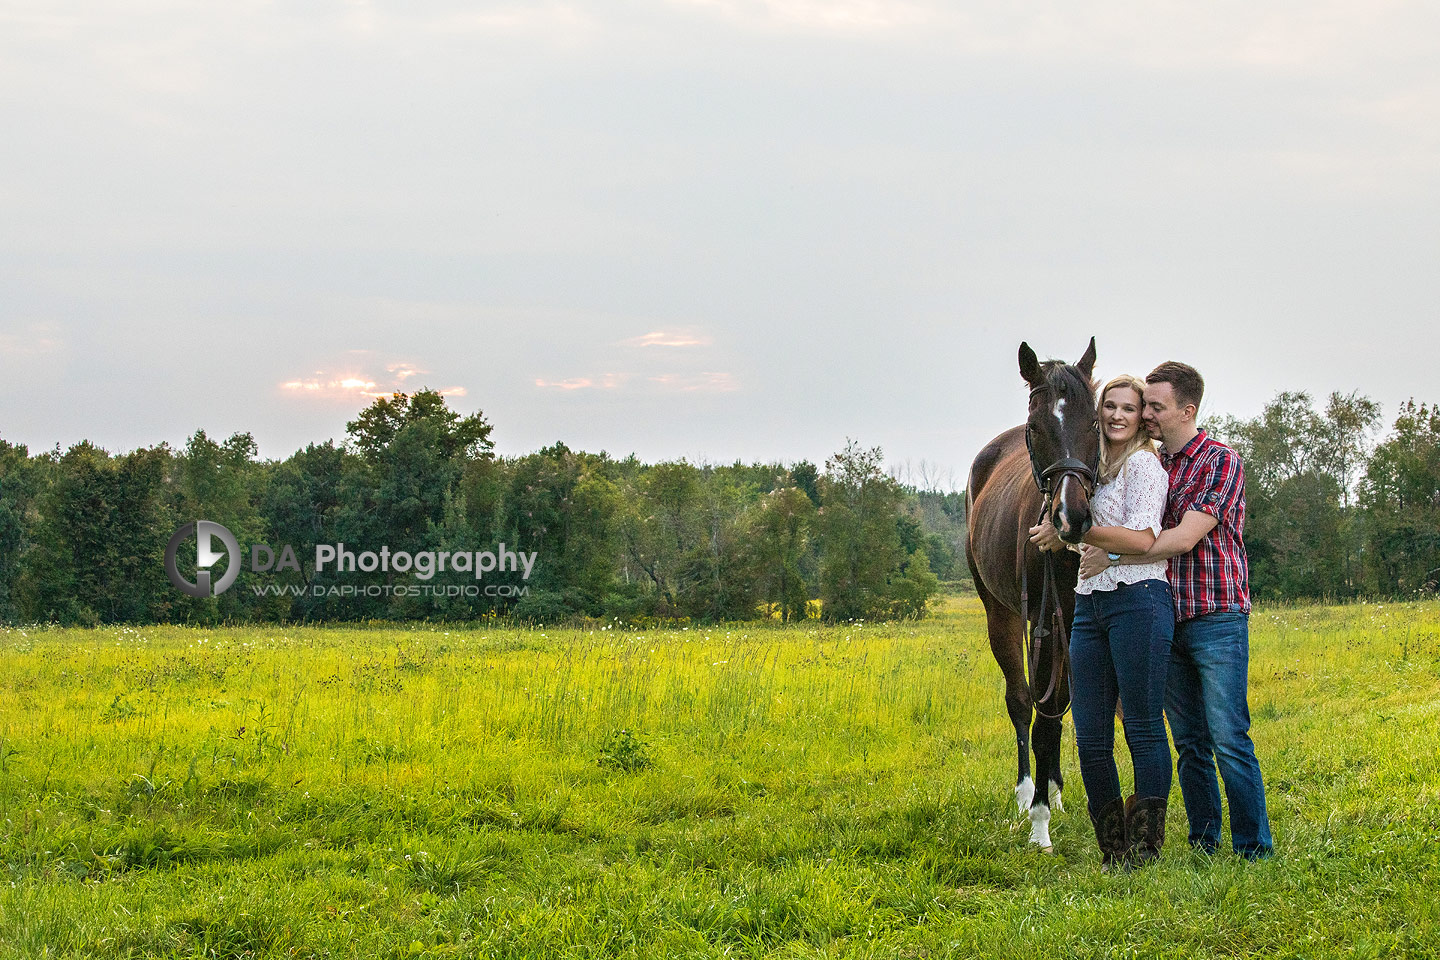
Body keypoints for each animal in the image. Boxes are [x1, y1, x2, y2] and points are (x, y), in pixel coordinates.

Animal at [967, 338, 1100, 846]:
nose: (1071, 517)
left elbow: (1061, 711)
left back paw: (1056, 789)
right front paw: (1039, 822)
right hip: (1002, 614)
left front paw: (1055, 796)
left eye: (1095, 423)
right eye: (1035, 427)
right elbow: (1040, 718)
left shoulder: (1074, 622)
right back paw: (1028, 792)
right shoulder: (1042, 621)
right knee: (1022, 703)